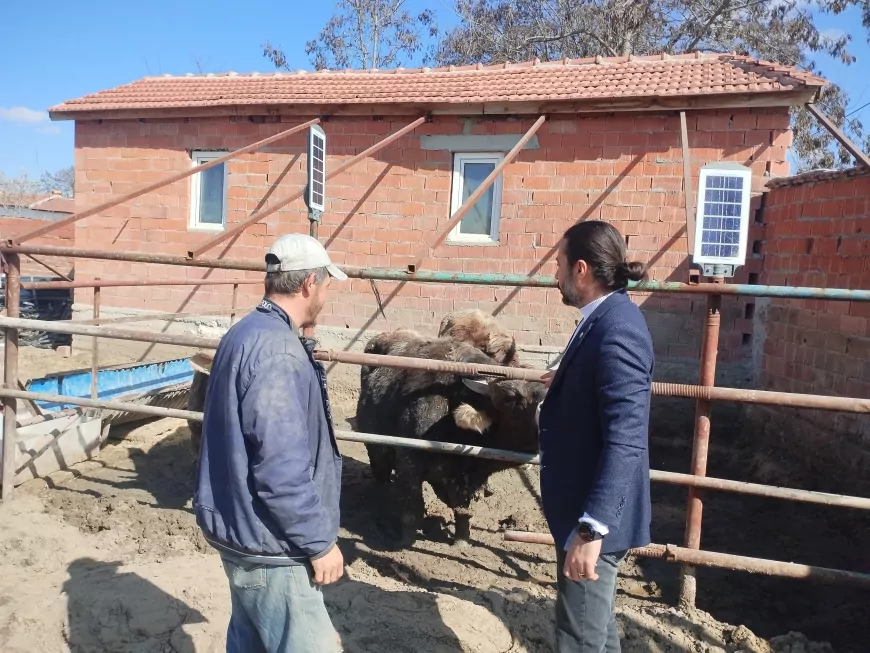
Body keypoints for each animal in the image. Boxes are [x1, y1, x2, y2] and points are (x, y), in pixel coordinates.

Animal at [356, 328, 544, 548]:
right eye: (511, 397)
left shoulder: (464, 479)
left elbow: (462, 510)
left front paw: (462, 541)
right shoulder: (408, 463)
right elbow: (412, 510)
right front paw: (405, 541)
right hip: (376, 447)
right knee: (381, 476)